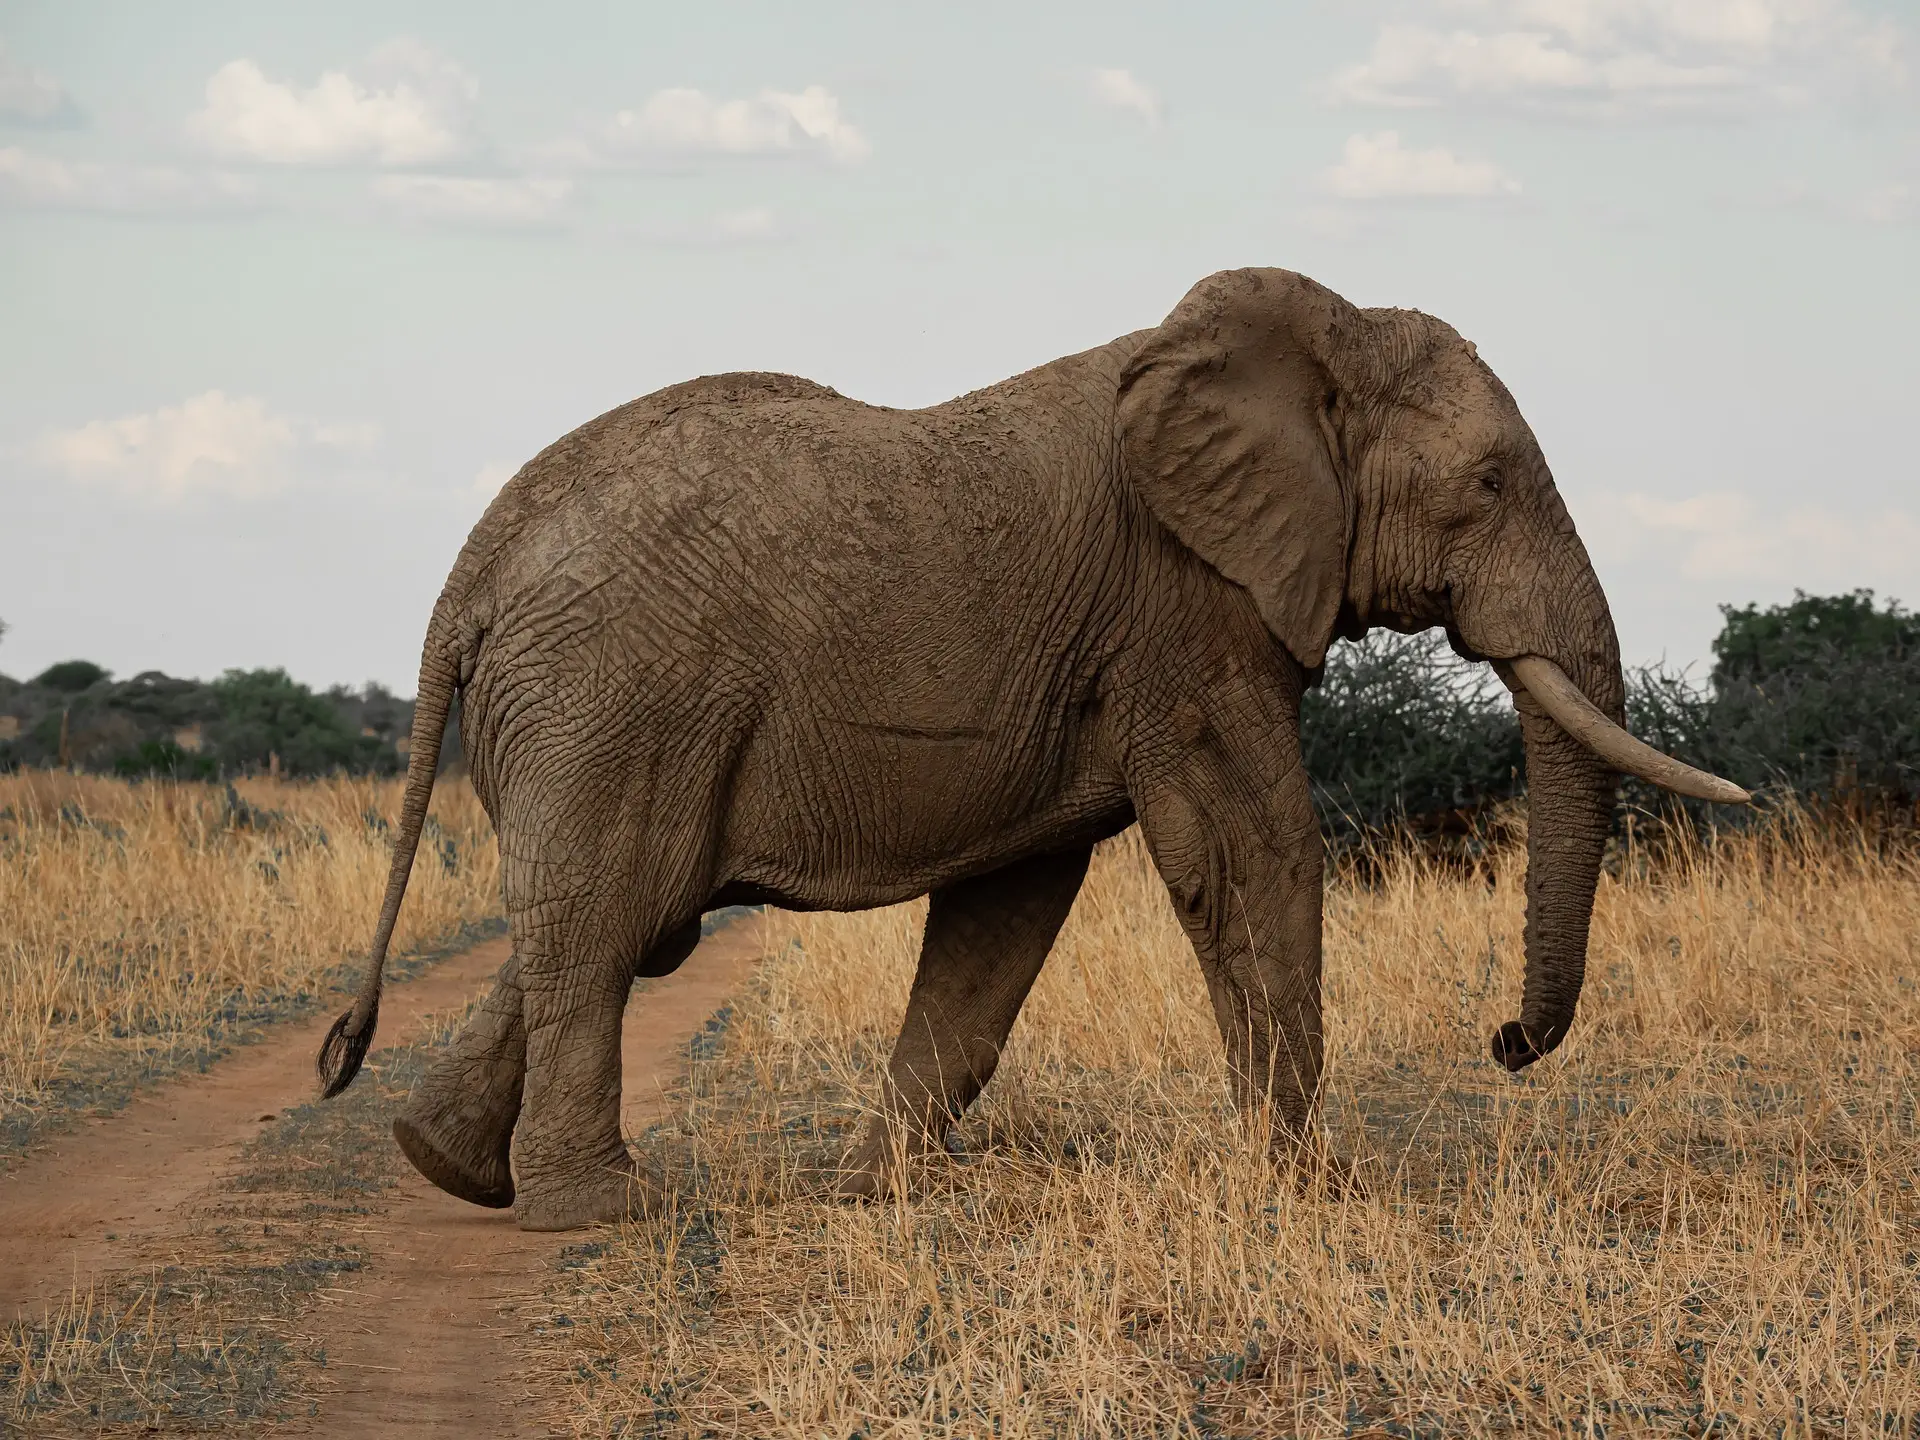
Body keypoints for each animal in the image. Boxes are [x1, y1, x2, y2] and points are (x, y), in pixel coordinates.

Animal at [316, 267, 1747, 1232]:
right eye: (1490, 487)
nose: (1504, 1041)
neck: (1306, 343)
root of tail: (471, 573)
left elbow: (1010, 908)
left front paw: (879, 1192)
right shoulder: (1187, 615)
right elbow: (1255, 853)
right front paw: (1311, 1189)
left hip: (588, 711)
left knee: (603, 919)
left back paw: (445, 1166)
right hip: (616, 697)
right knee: (608, 921)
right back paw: (607, 1211)